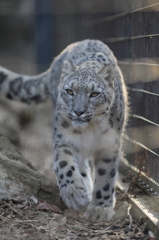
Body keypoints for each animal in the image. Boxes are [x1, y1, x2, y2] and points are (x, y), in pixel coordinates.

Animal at [0, 39, 128, 223]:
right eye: (69, 91)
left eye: (94, 94)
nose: (78, 111)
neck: (90, 129)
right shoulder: (64, 139)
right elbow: (65, 165)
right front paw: (76, 196)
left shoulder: (109, 145)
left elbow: (106, 176)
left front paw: (100, 210)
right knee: (81, 165)